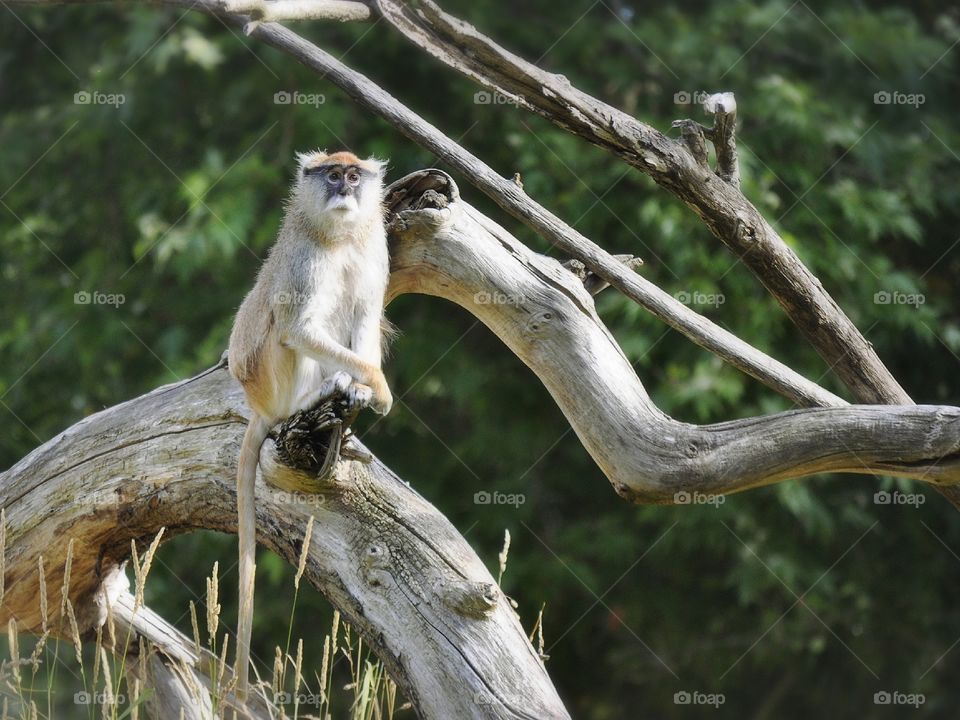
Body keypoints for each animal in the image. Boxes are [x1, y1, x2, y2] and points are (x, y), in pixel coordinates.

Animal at [227, 149, 393, 699]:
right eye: (332, 174)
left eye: (354, 176)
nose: (343, 188)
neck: (338, 237)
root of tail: (257, 404)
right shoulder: (305, 259)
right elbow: (298, 328)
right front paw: (379, 389)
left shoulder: (372, 251)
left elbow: (364, 315)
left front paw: (365, 389)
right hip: (268, 376)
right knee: (286, 330)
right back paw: (317, 395)